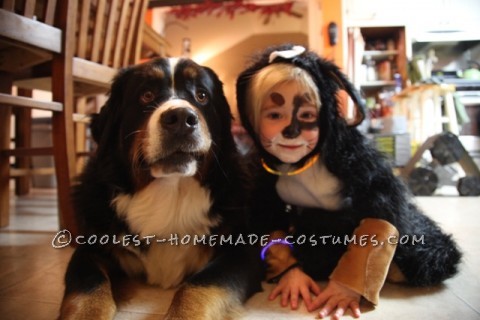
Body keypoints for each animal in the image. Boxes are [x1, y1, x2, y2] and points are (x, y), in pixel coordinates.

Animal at [61, 58, 262, 320]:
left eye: (202, 96)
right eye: (146, 95)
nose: (181, 117)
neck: (169, 191)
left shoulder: (241, 251)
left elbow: (199, 286)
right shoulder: (91, 250)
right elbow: (88, 287)